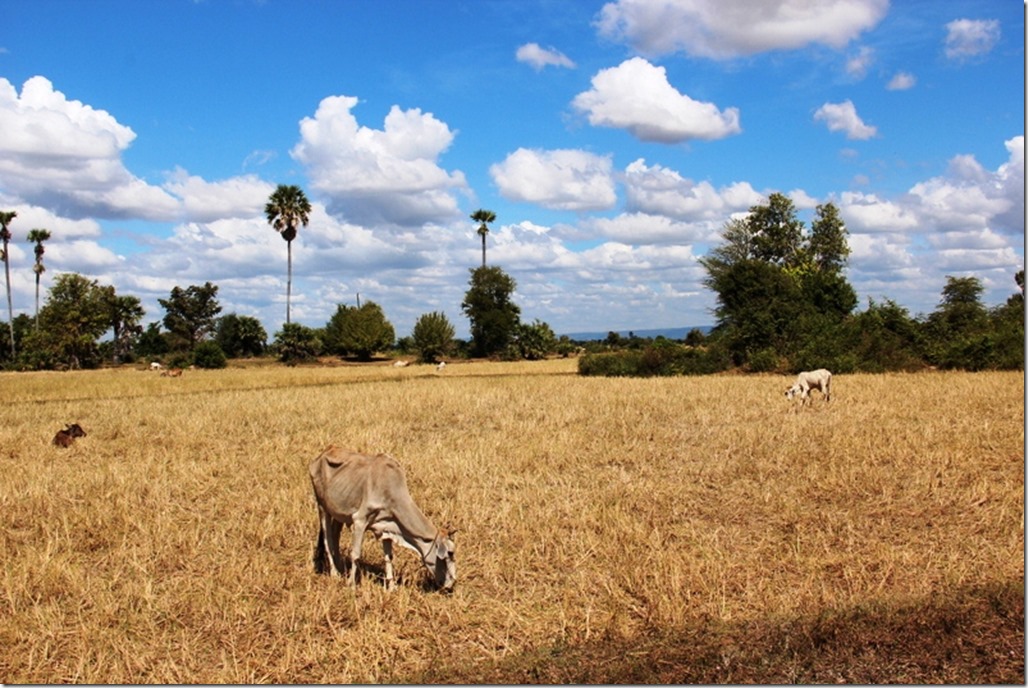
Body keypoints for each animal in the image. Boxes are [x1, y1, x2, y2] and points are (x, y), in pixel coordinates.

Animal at [306, 446, 456, 592]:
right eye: (450, 553)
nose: (452, 582)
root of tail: (321, 455)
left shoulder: (387, 527)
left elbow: (388, 558)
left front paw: (391, 587)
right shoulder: (359, 521)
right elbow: (355, 554)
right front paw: (351, 584)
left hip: (339, 514)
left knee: (335, 537)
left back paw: (341, 568)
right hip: (322, 507)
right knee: (328, 540)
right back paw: (335, 573)